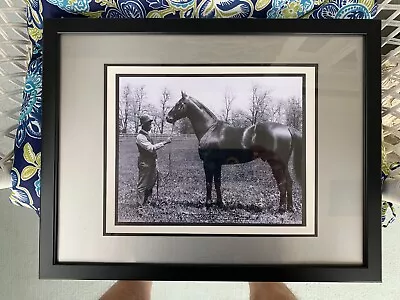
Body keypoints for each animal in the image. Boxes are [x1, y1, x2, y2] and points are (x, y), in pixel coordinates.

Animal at [166, 90, 304, 212]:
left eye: (178, 104)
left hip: (276, 164)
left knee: (282, 183)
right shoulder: (217, 164)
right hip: (283, 164)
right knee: (289, 182)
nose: (168, 118)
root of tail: (287, 128)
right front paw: (220, 203)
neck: (209, 129)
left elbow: (209, 183)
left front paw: (208, 204)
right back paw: (290, 208)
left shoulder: (208, 163)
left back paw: (281, 209)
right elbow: (217, 183)